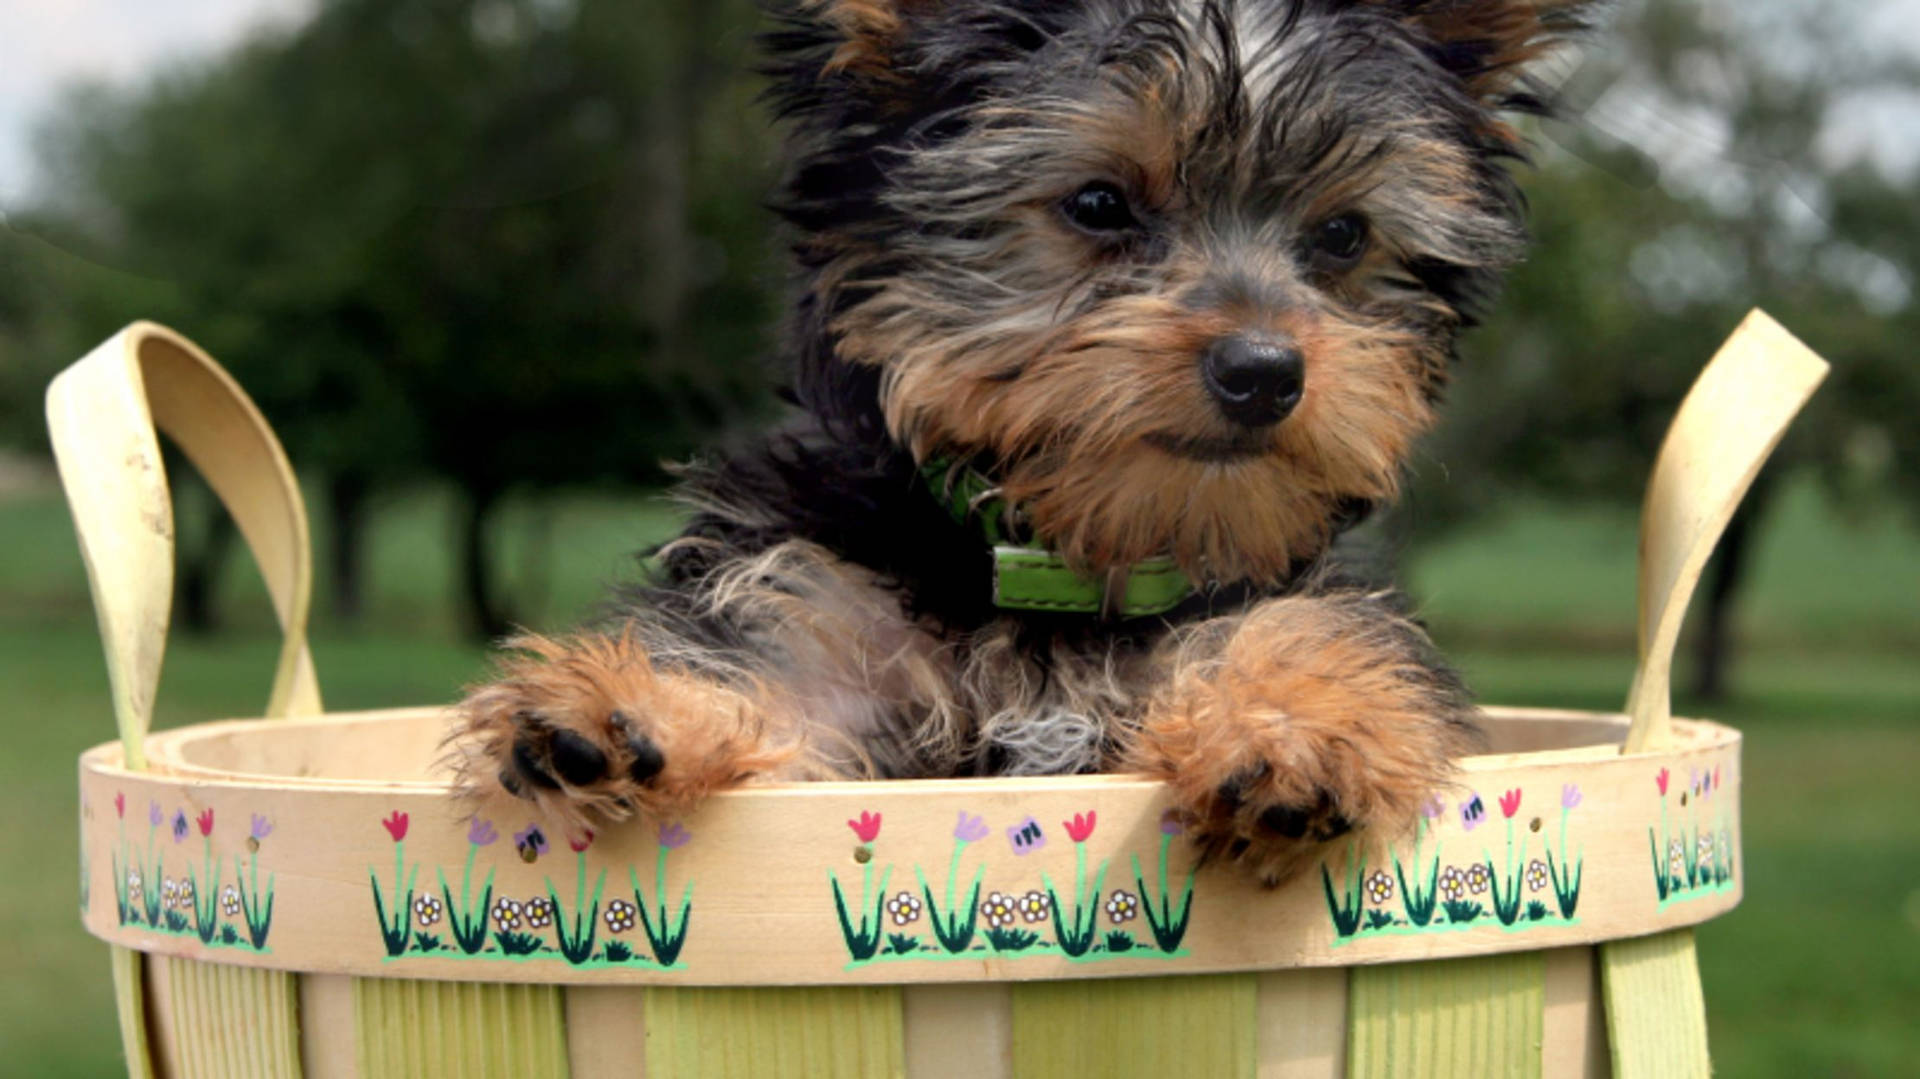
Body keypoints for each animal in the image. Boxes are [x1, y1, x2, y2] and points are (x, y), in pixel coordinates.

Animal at [449, 0, 1589, 883]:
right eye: (1097, 203)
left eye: (1344, 234)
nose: (1265, 370)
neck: (1064, 564)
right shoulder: (820, 611)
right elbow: (759, 675)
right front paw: (629, 705)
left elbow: (1313, 632)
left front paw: (1292, 729)